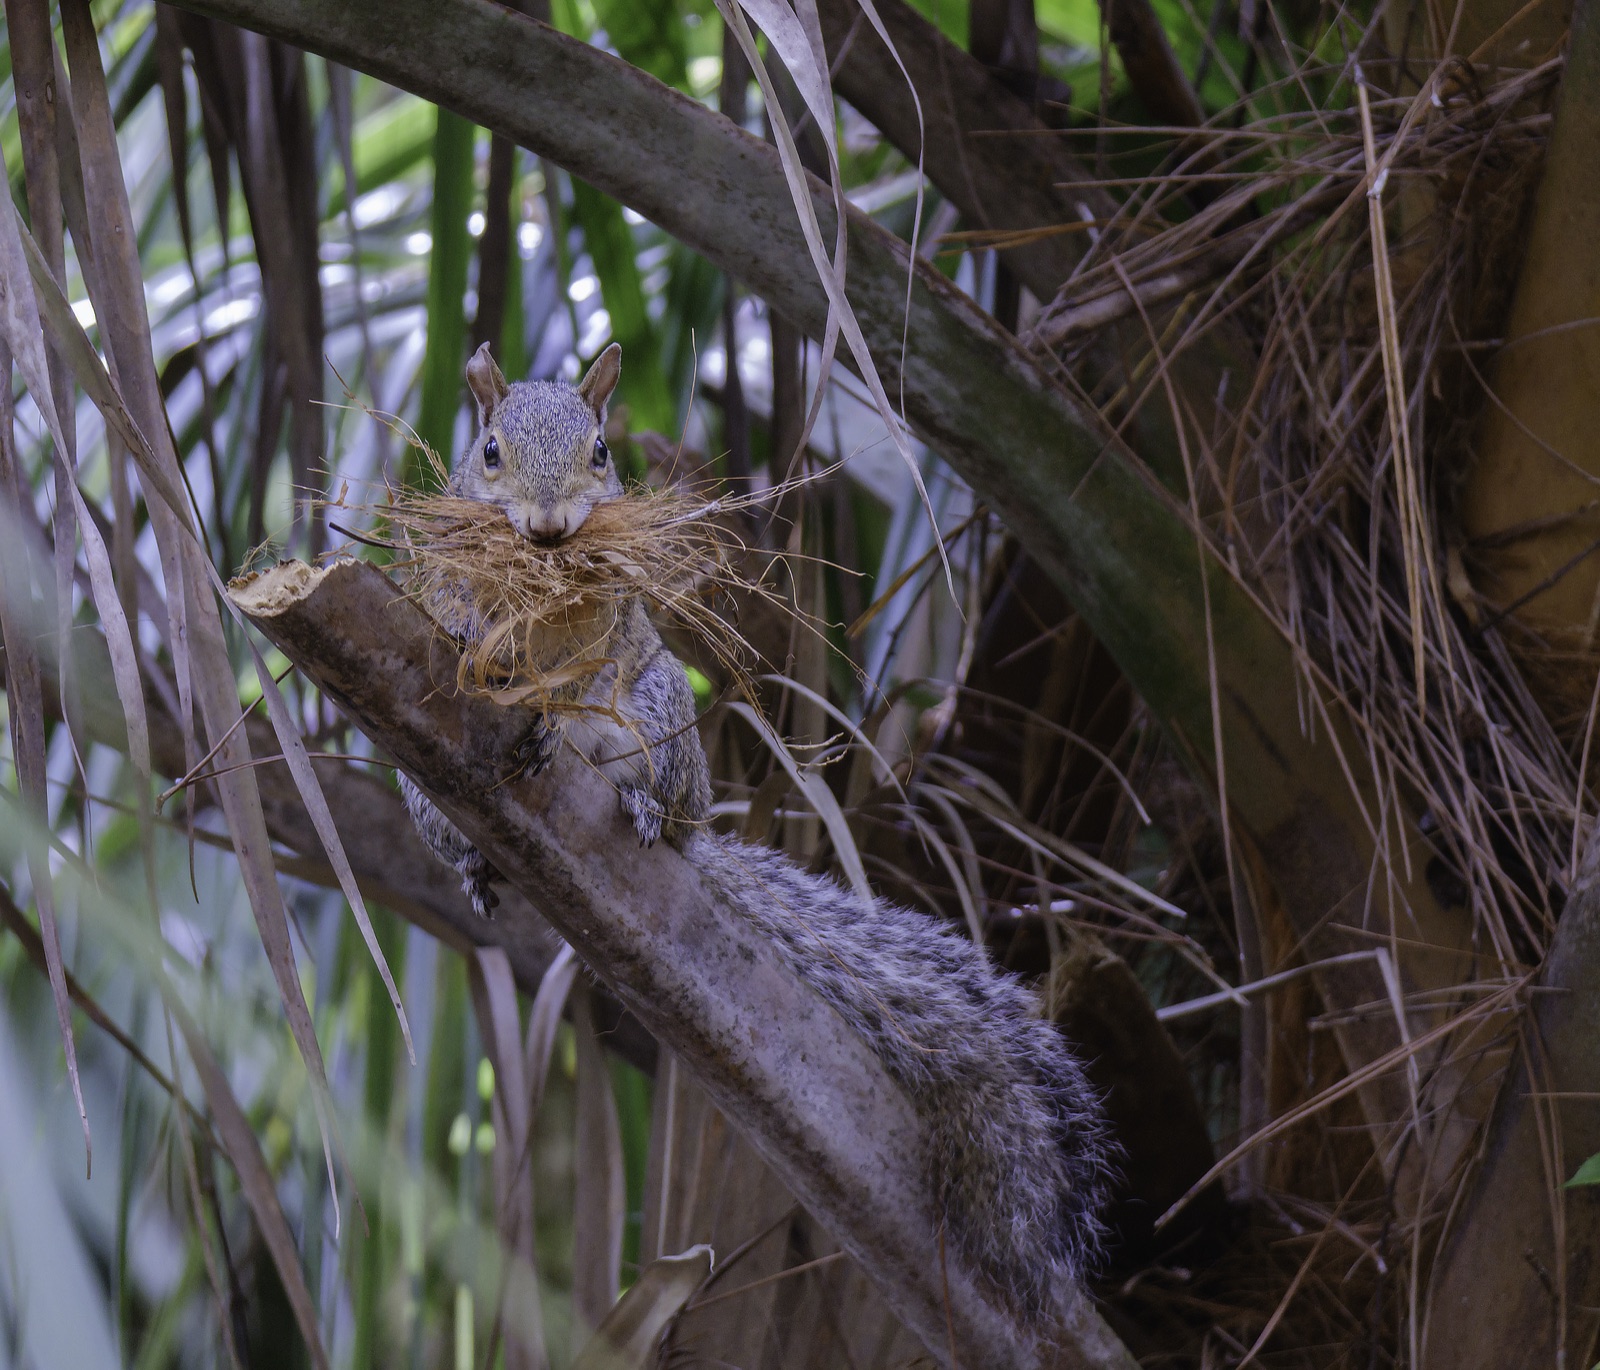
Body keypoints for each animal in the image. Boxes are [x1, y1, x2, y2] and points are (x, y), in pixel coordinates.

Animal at [399, 341, 1112, 1326]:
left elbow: (588, 651)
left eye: (600, 453)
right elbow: (451, 613)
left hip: (661, 716)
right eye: (490, 451)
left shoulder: (611, 621)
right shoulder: (440, 585)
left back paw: (643, 809)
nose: (547, 528)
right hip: (425, 791)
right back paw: (475, 861)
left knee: (663, 796)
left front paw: (551, 697)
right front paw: (483, 640)